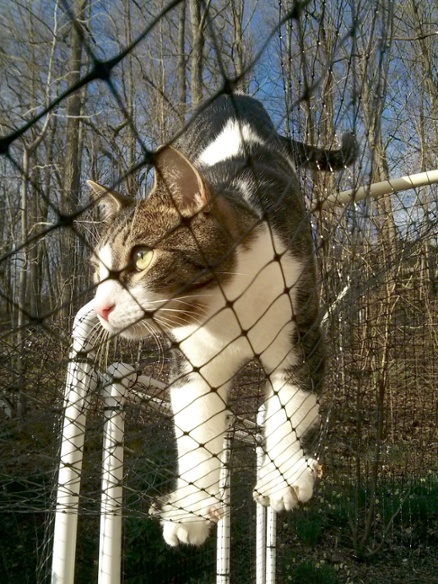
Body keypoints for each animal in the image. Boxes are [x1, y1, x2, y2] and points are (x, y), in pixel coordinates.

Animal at [88, 93, 356, 544]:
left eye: (141, 257)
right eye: (97, 271)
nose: (101, 307)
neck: (226, 311)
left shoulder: (301, 328)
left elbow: (291, 405)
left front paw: (283, 477)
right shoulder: (193, 362)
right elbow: (195, 431)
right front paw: (191, 510)